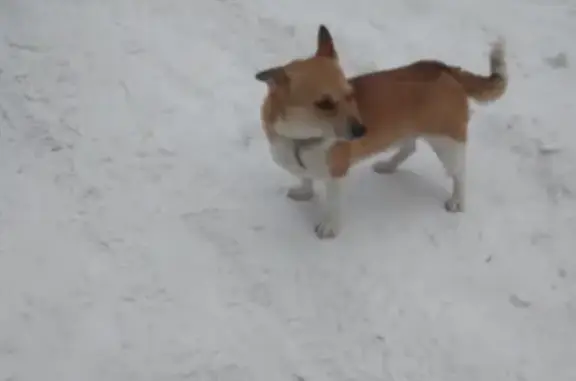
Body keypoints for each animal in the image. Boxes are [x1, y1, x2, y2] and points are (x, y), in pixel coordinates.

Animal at [254, 24, 506, 238]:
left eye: (350, 94)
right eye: (324, 103)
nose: (361, 130)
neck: (302, 137)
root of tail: (446, 69)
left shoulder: (336, 175)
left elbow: (333, 205)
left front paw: (329, 228)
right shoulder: (300, 165)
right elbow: (305, 179)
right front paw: (304, 192)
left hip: (447, 144)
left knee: (459, 174)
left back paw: (457, 201)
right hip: (406, 130)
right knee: (409, 147)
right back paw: (389, 165)